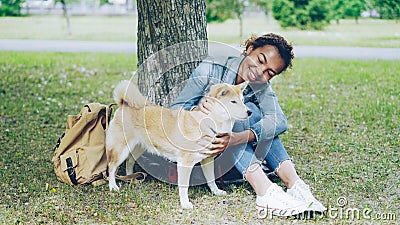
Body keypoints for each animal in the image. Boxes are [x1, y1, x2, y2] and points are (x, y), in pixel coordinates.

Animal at [106, 79, 250, 209]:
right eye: (233, 101)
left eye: (243, 100)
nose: (249, 112)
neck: (207, 123)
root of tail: (124, 104)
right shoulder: (185, 163)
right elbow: (184, 186)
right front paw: (185, 204)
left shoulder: (207, 160)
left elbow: (211, 179)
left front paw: (216, 192)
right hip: (121, 149)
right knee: (111, 167)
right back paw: (113, 186)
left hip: (138, 147)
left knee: (129, 162)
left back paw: (131, 179)